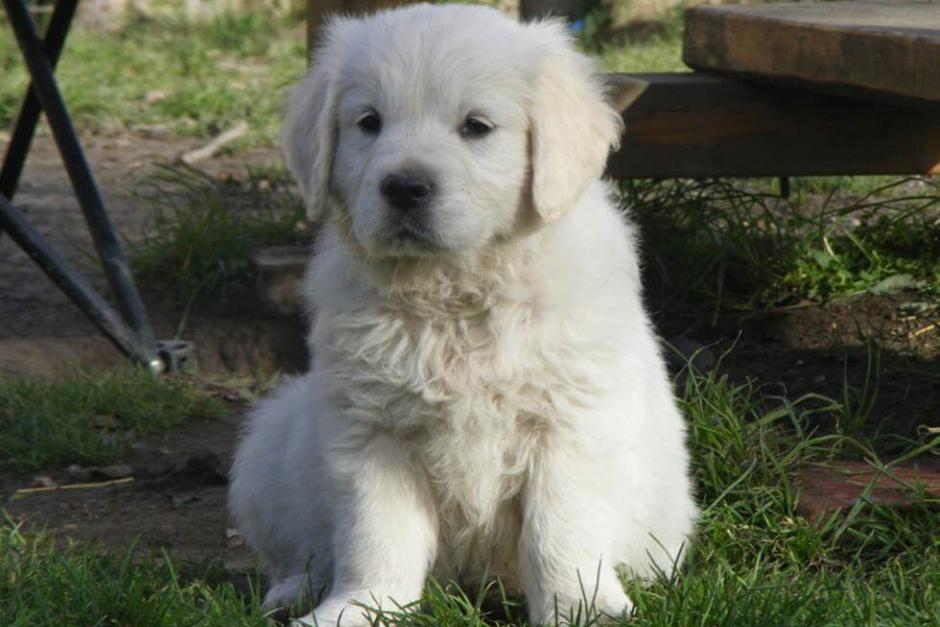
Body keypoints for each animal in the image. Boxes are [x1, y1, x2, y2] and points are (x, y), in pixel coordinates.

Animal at [229, 3, 696, 624]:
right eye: (369, 122)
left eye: (476, 127)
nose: (405, 187)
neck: (454, 292)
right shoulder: (372, 428)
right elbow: (376, 533)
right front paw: (361, 607)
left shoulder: (570, 423)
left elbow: (560, 530)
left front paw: (581, 607)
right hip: (270, 443)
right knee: (297, 548)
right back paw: (294, 590)